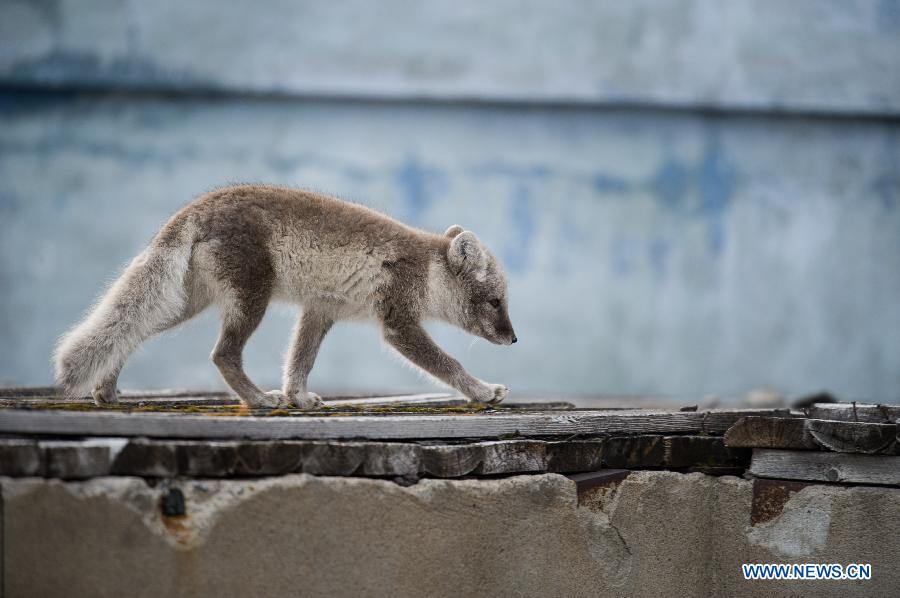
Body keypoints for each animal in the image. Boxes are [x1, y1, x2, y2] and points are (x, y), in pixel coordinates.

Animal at [56, 185, 516, 410]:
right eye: (495, 301)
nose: (514, 339)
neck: (427, 269)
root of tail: (196, 208)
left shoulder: (320, 311)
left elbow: (300, 361)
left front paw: (299, 398)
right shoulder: (398, 325)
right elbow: (448, 364)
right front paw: (481, 392)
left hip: (185, 304)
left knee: (132, 329)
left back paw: (105, 389)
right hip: (249, 300)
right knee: (222, 354)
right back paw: (259, 400)